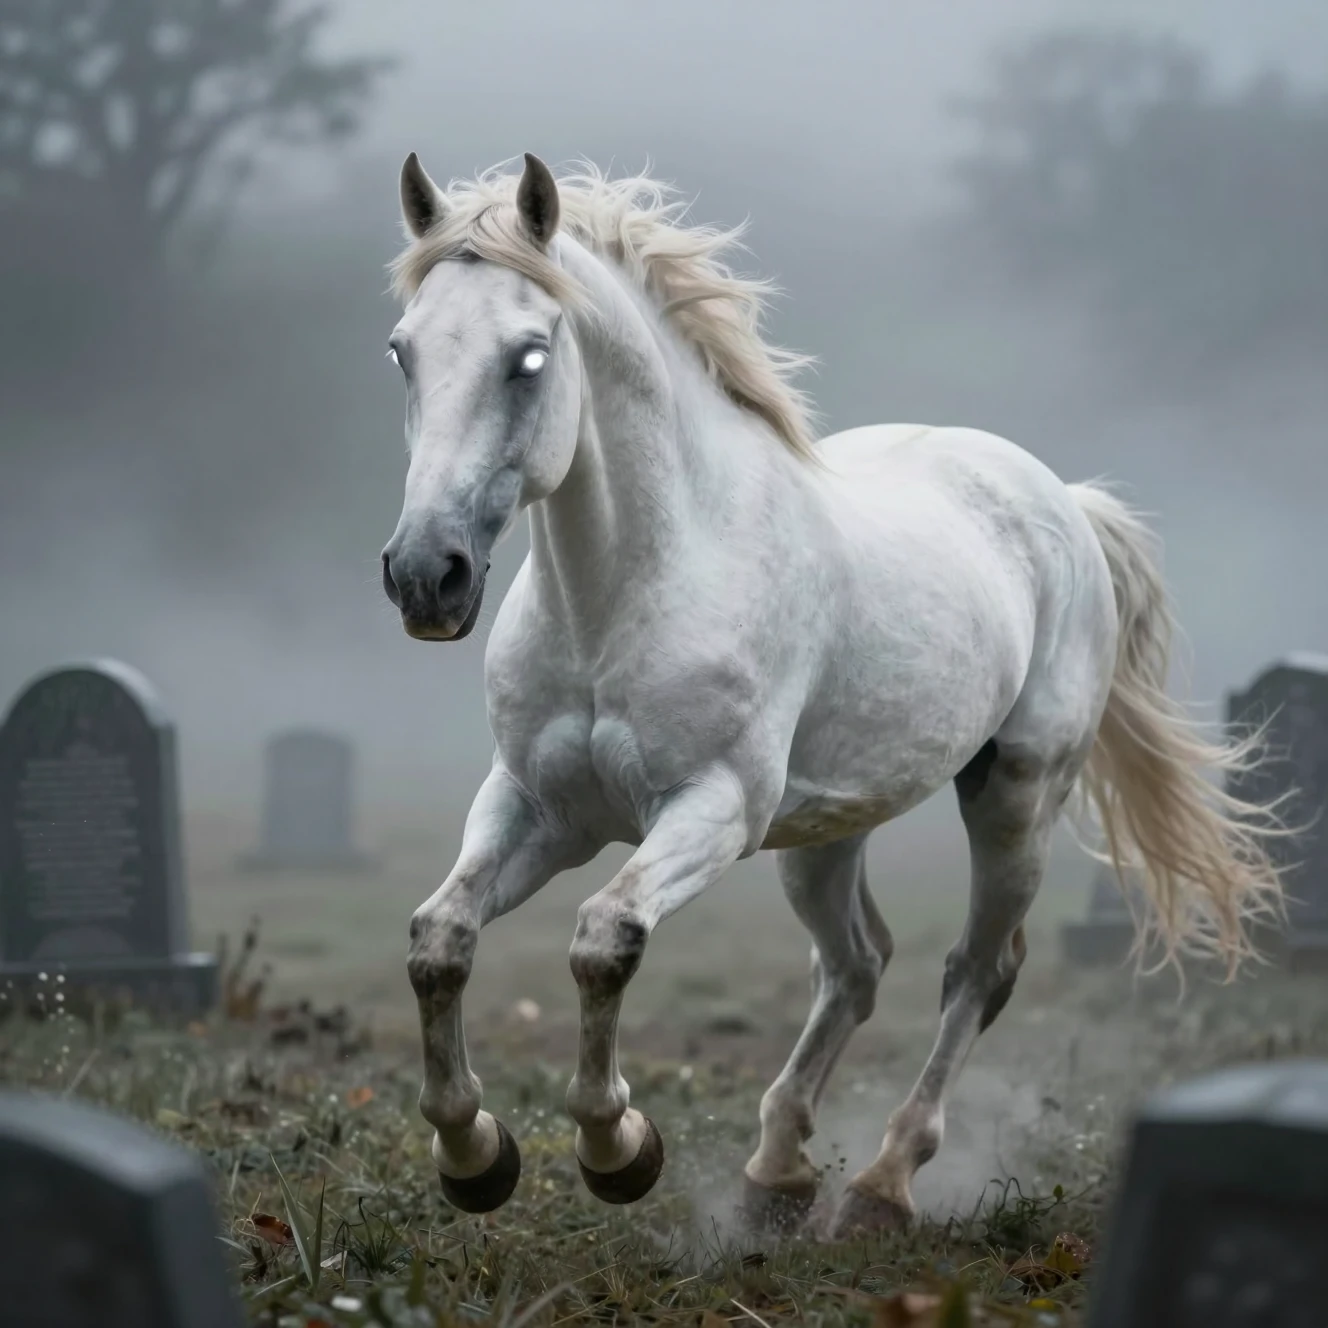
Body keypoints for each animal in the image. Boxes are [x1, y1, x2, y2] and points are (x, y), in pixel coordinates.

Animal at [379, 151, 1287, 1236]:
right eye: (402, 351)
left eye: (526, 357)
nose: (425, 576)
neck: (629, 591)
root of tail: (1062, 500)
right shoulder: (535, 805)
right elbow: (440, 940)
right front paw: (474, 1156)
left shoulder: (713, 809)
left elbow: (606, 939)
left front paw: (619, 1149)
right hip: (824, 830)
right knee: (856, 965)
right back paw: (774, 1174)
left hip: (1014, 796)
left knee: (975, 971)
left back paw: (881, 1184)